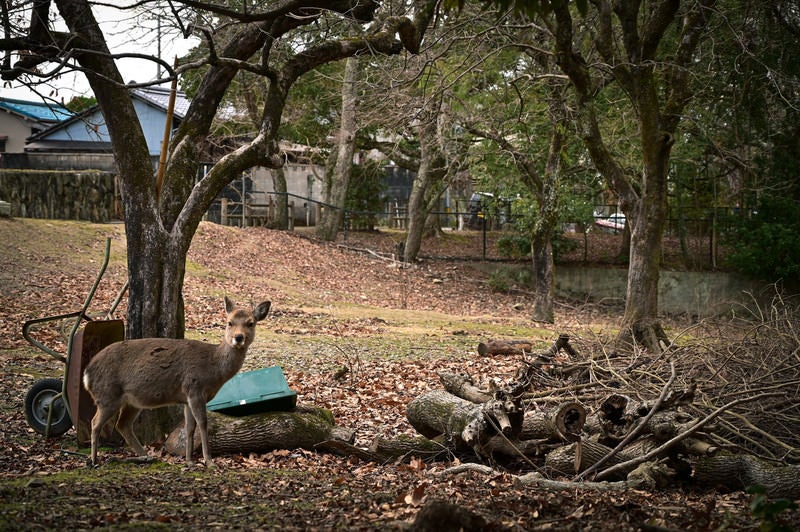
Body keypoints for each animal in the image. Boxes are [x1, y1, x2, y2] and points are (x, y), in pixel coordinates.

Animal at [83, 298, 272, 468]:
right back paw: (94, 460)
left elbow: (189, 428)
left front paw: (189, 461)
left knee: (122, 424)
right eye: (229, 322)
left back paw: (146, 457)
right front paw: (209, 462)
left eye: (251, 323)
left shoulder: (186, 397)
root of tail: (86, 373)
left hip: (131, 401)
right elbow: (203, 424)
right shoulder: (195, 388)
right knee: (95, 422)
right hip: (108, 394)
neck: (213, 369)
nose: (238, 338)